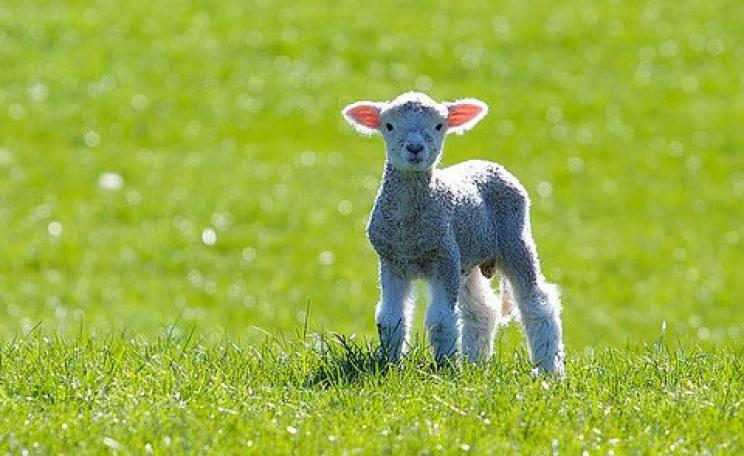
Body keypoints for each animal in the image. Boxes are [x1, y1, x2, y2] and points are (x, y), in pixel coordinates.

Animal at [342, 92, 565, 375]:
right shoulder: (392, 261)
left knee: (538, 304)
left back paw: (549, 369)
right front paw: (390, 364)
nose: (415, 149)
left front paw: (445, 367)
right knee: (482, 310)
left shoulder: (443, 258)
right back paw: (476, 363)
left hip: (515, 240)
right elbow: (391, 318)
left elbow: (441, 320)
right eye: (389, 126)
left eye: (439, 126)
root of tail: (488, 163)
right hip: (467, 257)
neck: (408, 230)